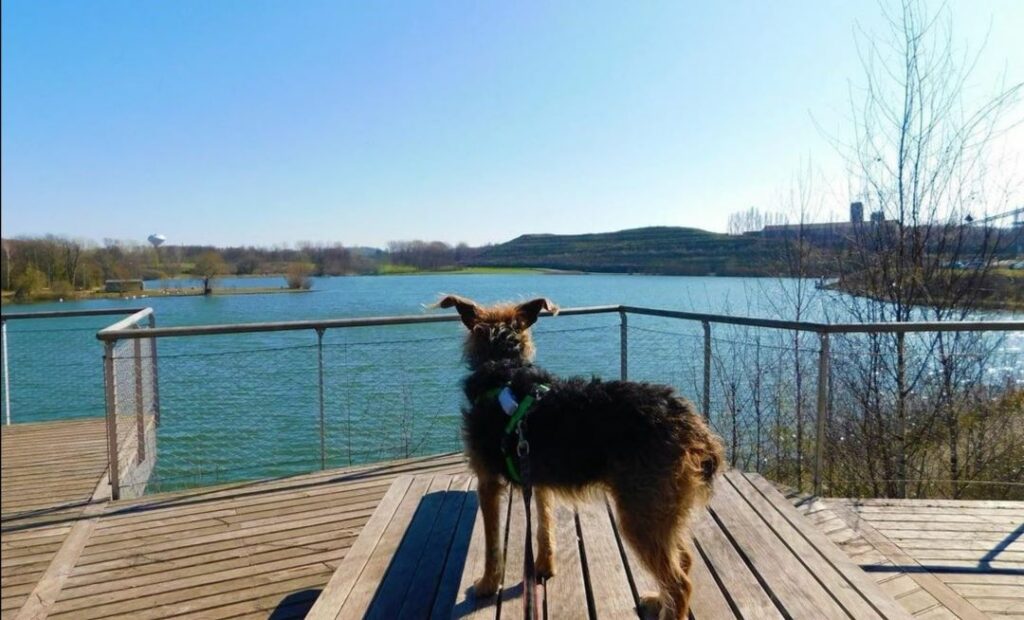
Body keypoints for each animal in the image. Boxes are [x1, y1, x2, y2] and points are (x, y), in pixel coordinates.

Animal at [436, 295, 724, 618]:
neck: (504, 368)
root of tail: (692, 426)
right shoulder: (536, 477)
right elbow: (544, 526)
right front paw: (544, 566)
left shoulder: (487, 482)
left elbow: (492, 544)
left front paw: (487, 583)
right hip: (664, 511)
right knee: (683, 560)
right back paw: (658, 600)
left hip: (641, 513)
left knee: (679, 583)